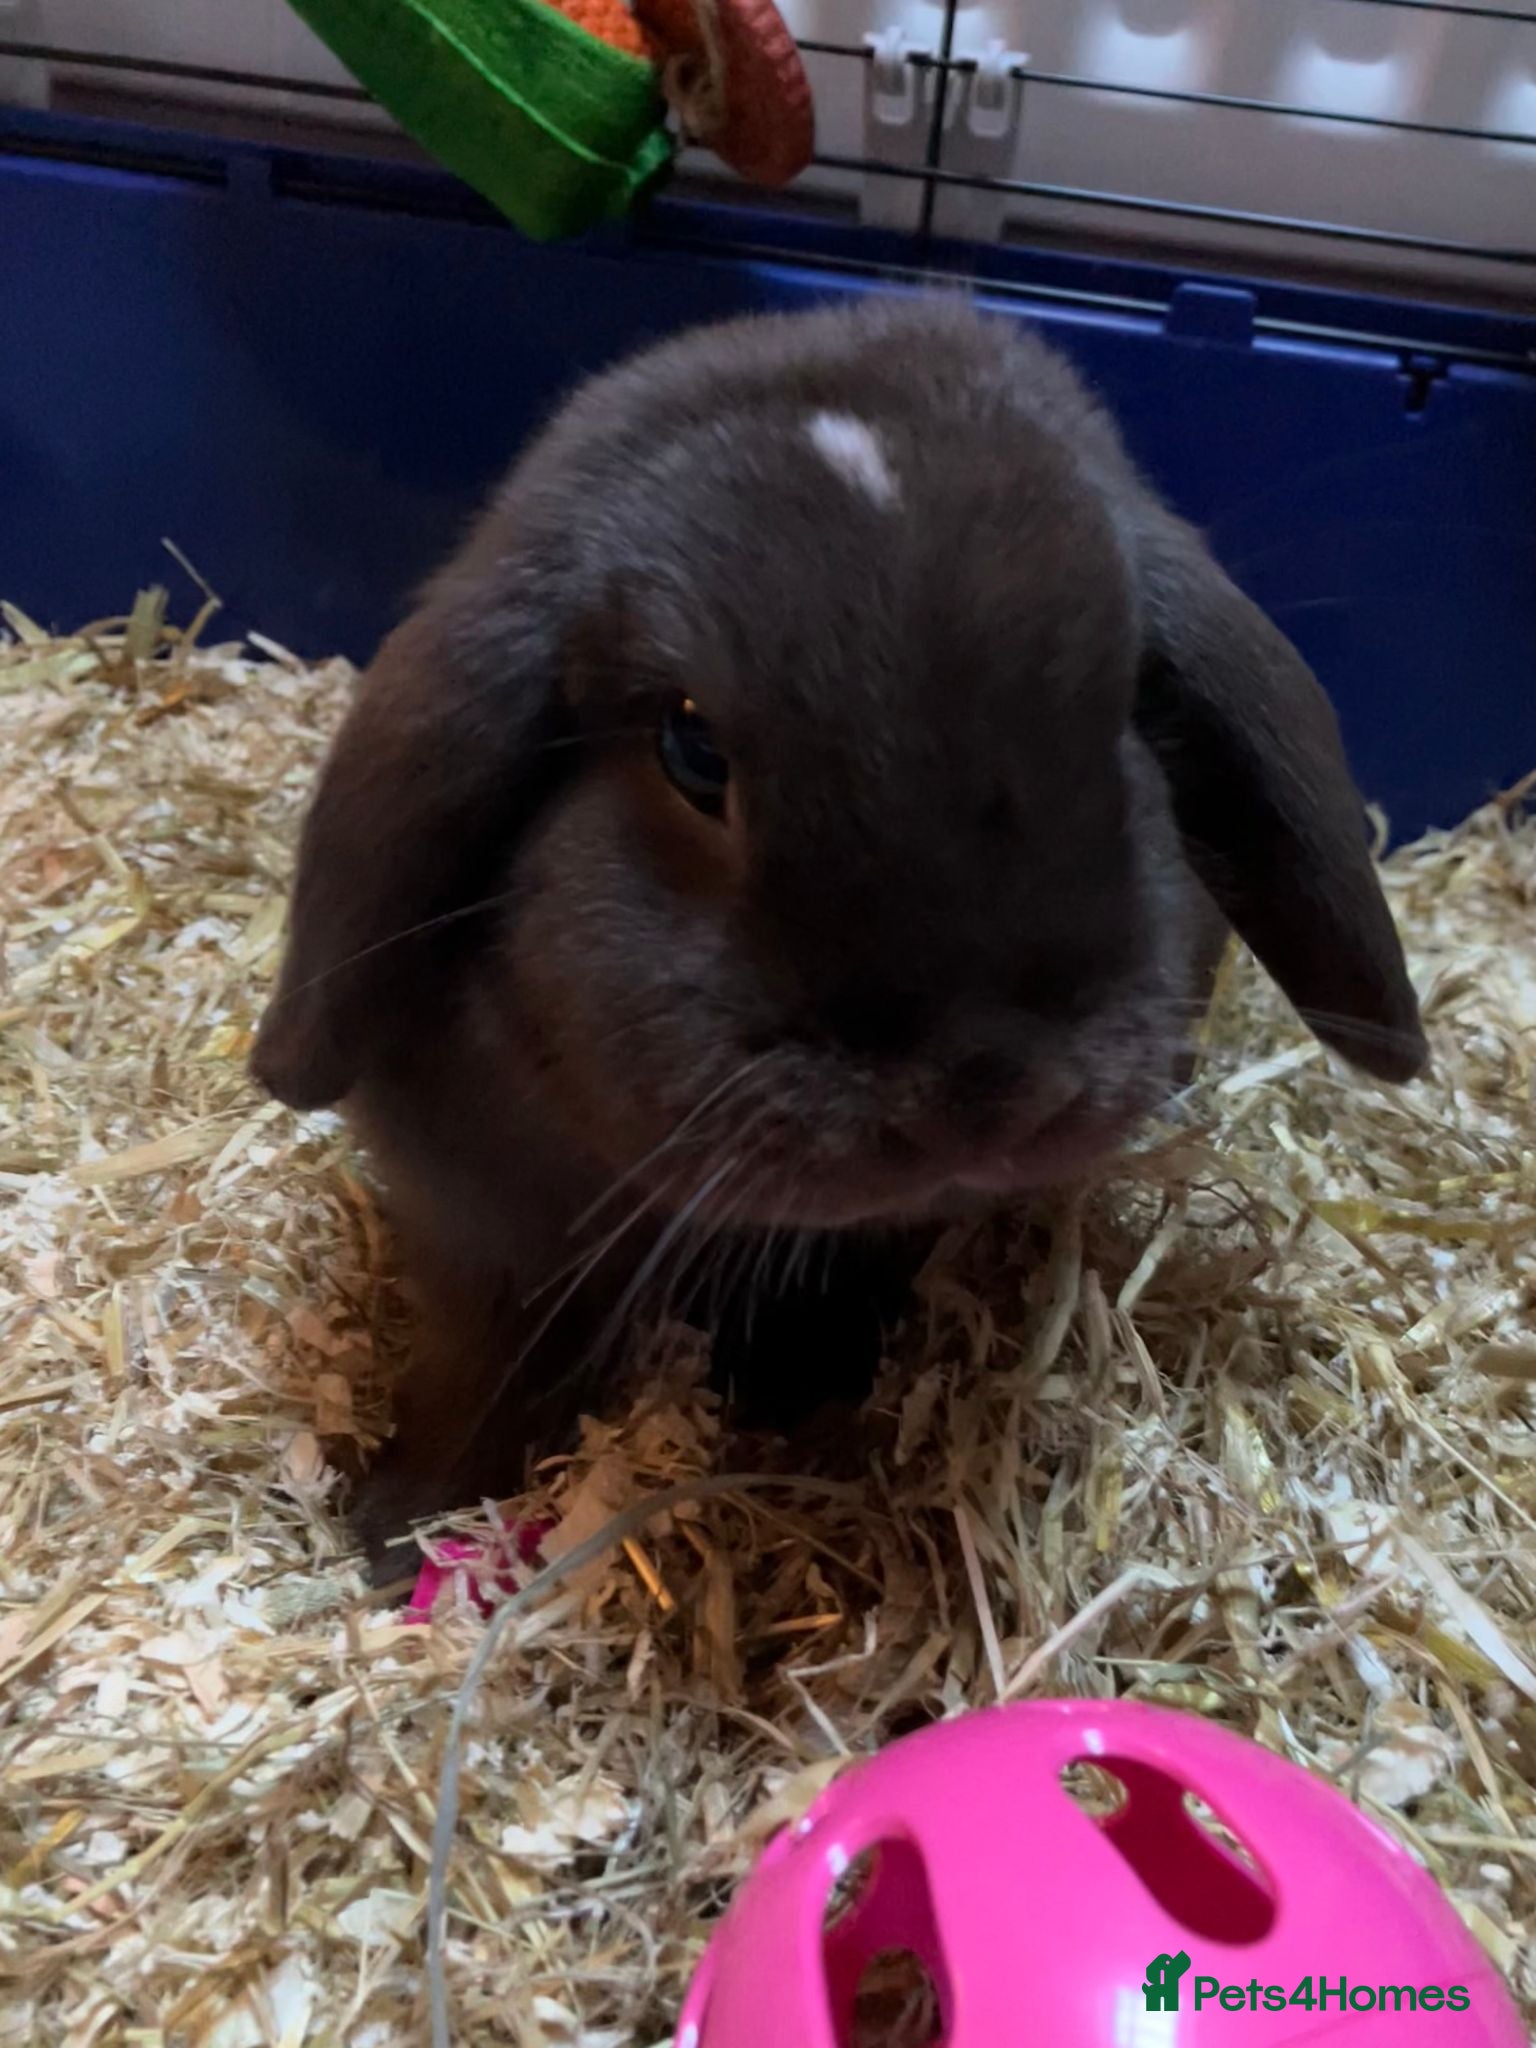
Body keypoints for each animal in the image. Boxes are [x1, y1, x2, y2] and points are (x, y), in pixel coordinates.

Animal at [250, 296, 1426, 1582]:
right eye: (691, 749)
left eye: (1123, 714)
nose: (985, 1091)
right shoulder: (483, 1233)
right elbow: (485, 1363)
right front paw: (399, 1525)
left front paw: (797, 1402)